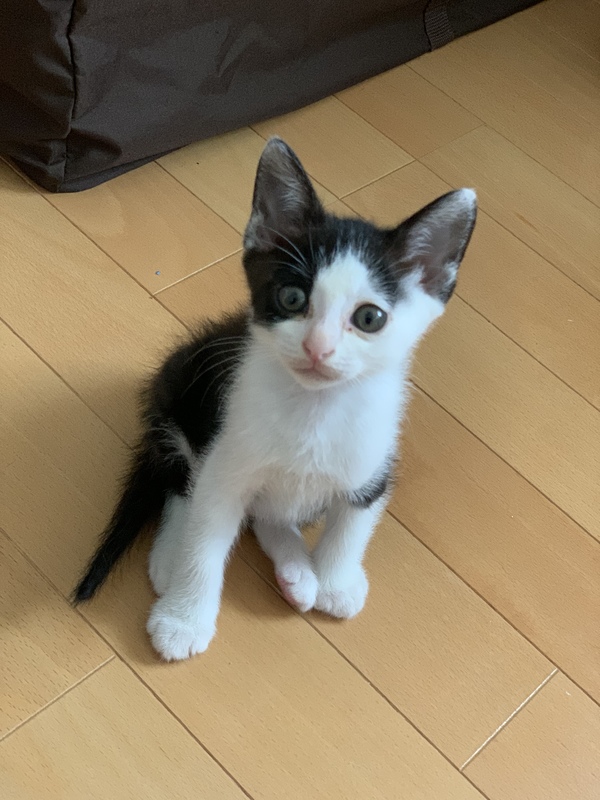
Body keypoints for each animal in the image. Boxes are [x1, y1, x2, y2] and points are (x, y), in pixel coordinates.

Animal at [74, 137, 477, 661]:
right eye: (291, 298)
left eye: (369, 318)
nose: (317, 347)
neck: (313, 411)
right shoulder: (226, 464)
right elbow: (205, 539)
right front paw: (183, 620)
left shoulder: (375, 459)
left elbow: (354, 522)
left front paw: (337, 581)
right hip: (180, 392)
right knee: (183, 482)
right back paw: (171, 557)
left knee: (270, 514)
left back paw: (296, 573)